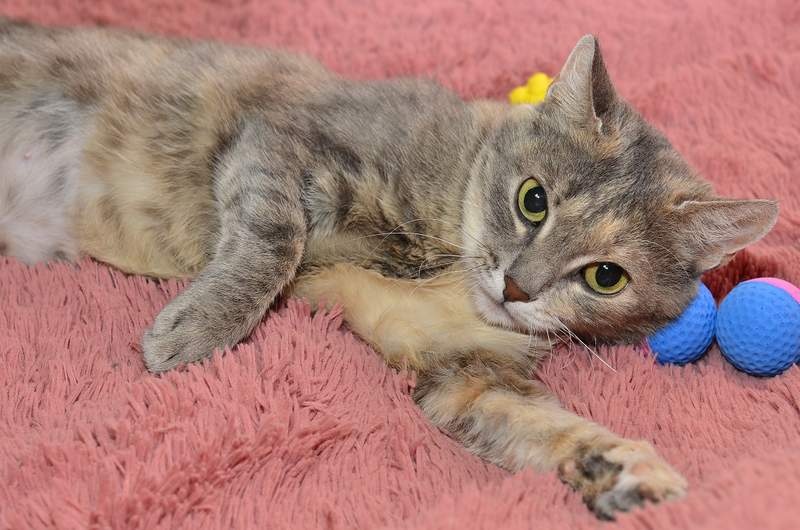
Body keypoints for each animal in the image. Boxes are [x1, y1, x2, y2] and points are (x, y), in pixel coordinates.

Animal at [0, 18, 778, 519]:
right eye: (533, 199)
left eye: (606, 277)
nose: (516, 286)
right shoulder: (281, 139)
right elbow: (273, 239)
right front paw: (198, 328)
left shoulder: (465, 374)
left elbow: (540, 424)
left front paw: (623, 467)